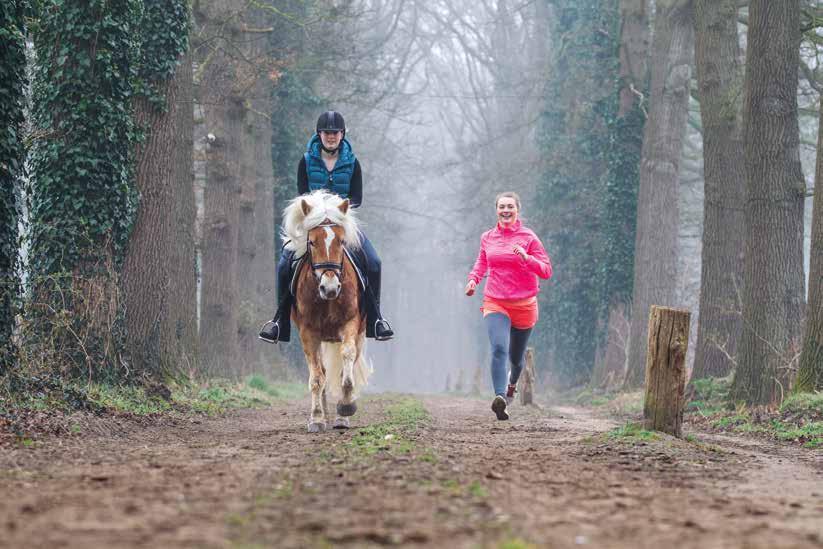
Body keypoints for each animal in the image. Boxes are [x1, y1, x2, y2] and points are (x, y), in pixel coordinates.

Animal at [284, 188, 374, 432]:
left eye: (342, 241)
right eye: (311, 242)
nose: (330, 287)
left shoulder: (350, 324)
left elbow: (347, 363)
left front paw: (346, 407)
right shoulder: (308, 333)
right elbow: (317, 378)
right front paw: (316, 419)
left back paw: (341, 416)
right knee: (322, 373)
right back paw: (322, 415)